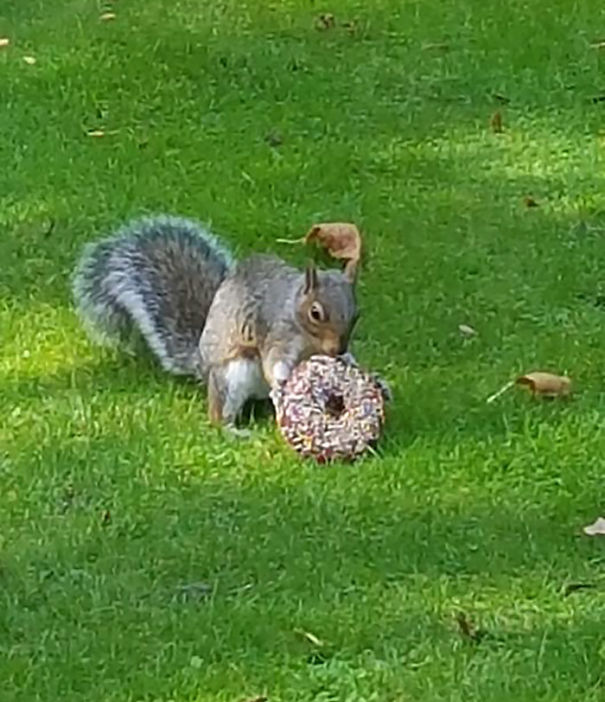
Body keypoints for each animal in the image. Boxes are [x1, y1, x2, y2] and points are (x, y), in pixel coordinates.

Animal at [72, 214, 365, 431]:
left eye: (357, 314)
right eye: (316, 313)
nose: (337, 350)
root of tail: (201, 364)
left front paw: (350, 360)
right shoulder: (275, 332)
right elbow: (274, 365)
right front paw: (282, 385)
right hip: (232, 376)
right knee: (219, 414)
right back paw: (233, 430)